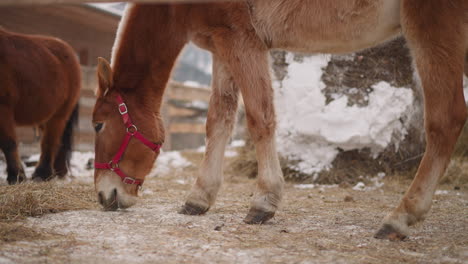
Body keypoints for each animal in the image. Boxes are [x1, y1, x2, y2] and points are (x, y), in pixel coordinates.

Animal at [0, 26, 80, 184]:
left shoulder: (3, 108)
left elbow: (8, 143)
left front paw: (16, 176)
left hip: (59, 116)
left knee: (50, 142)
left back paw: (43, 174)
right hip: (45, 117)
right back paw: (57, 172)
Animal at [92, 0, 468, 240]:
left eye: (97, 124)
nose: (104, 195)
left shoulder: (242, 39)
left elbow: (259, 118)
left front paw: (263, 201)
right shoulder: (221, 43)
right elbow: (219, 120)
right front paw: (199, 197)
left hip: (433, 26)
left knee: (446, 119)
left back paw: (401, 217)